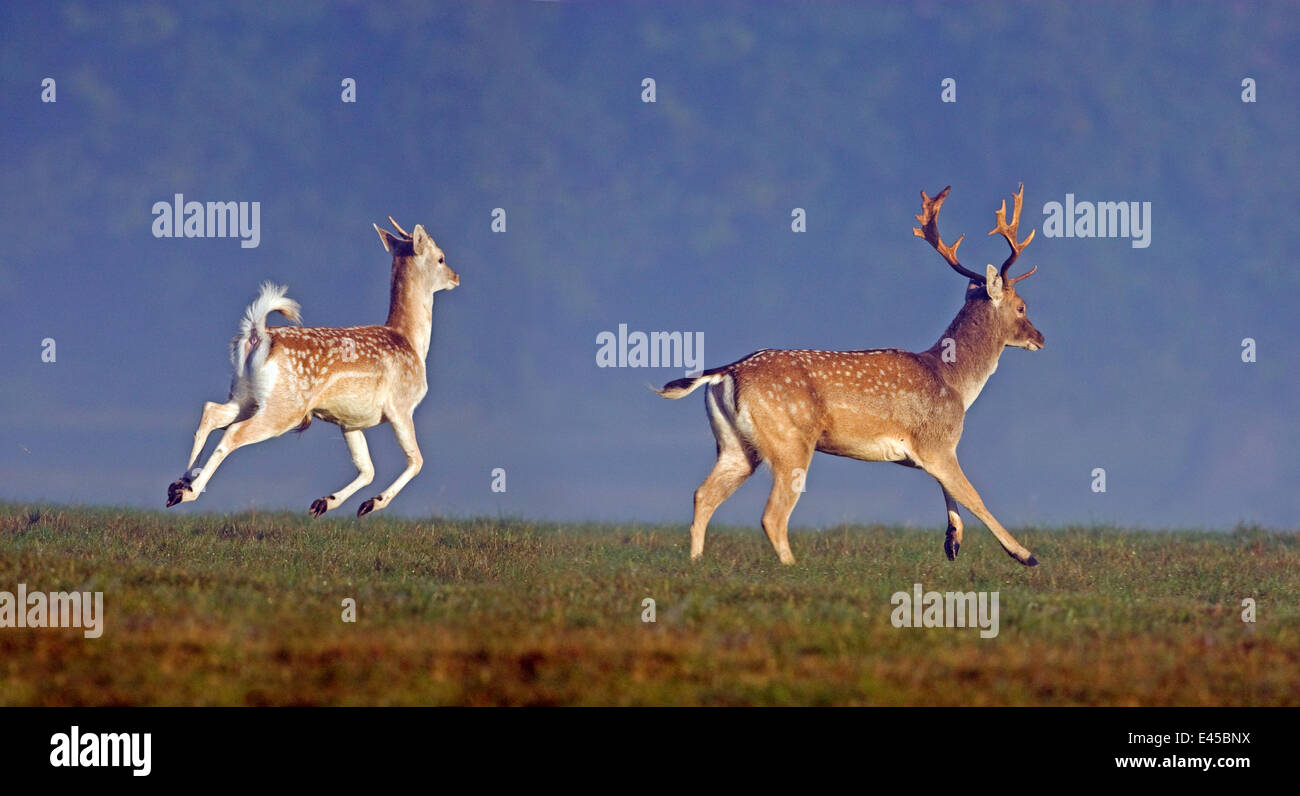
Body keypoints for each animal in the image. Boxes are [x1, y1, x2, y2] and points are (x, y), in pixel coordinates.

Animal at [167, 217, 460, 515]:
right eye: (441, 257)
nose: (456, 276)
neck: (411, 342)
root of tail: (258, 335)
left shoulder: (349, 421)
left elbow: (367, 469)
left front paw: (324, 503)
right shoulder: (401, 405)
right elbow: (416, 460)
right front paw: (372, 503)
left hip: (245, 395)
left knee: (211, 412)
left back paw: (180, 484)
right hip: (286, 407)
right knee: (234, 432)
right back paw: (188, 492)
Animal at [660, 184, 1045, 567]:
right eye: (1021, 306)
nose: (1040, 337)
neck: (955, 382)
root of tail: (727, 372)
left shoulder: (929, 451)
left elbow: (950, 492)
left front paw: (953, 542)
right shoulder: (937, 441)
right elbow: (973, 496)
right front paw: (1024, 555)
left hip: (735, 445)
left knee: (703, 494)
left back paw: (696, 561)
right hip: (790, 441)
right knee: (772, 515)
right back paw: (793, 567)